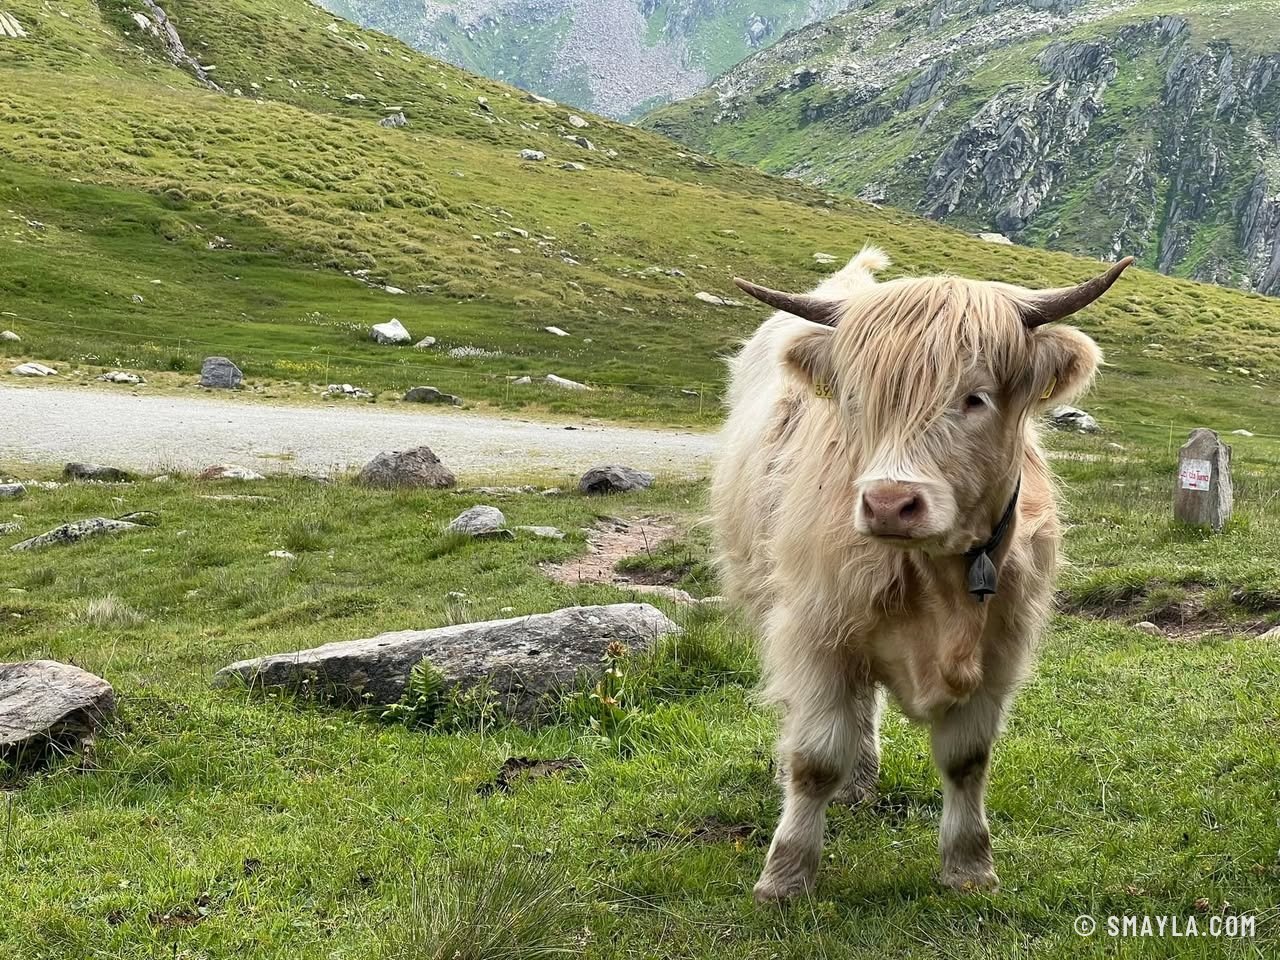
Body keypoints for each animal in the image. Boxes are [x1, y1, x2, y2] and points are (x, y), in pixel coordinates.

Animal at [711, 247, 1133, 902]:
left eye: (976, 398)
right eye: (855, 401)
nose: (888, 503)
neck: (937, 578)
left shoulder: (1001, 648)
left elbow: (967, 759)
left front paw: (969, 867)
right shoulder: (815, 630)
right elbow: (815, 758)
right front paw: (784, 878)